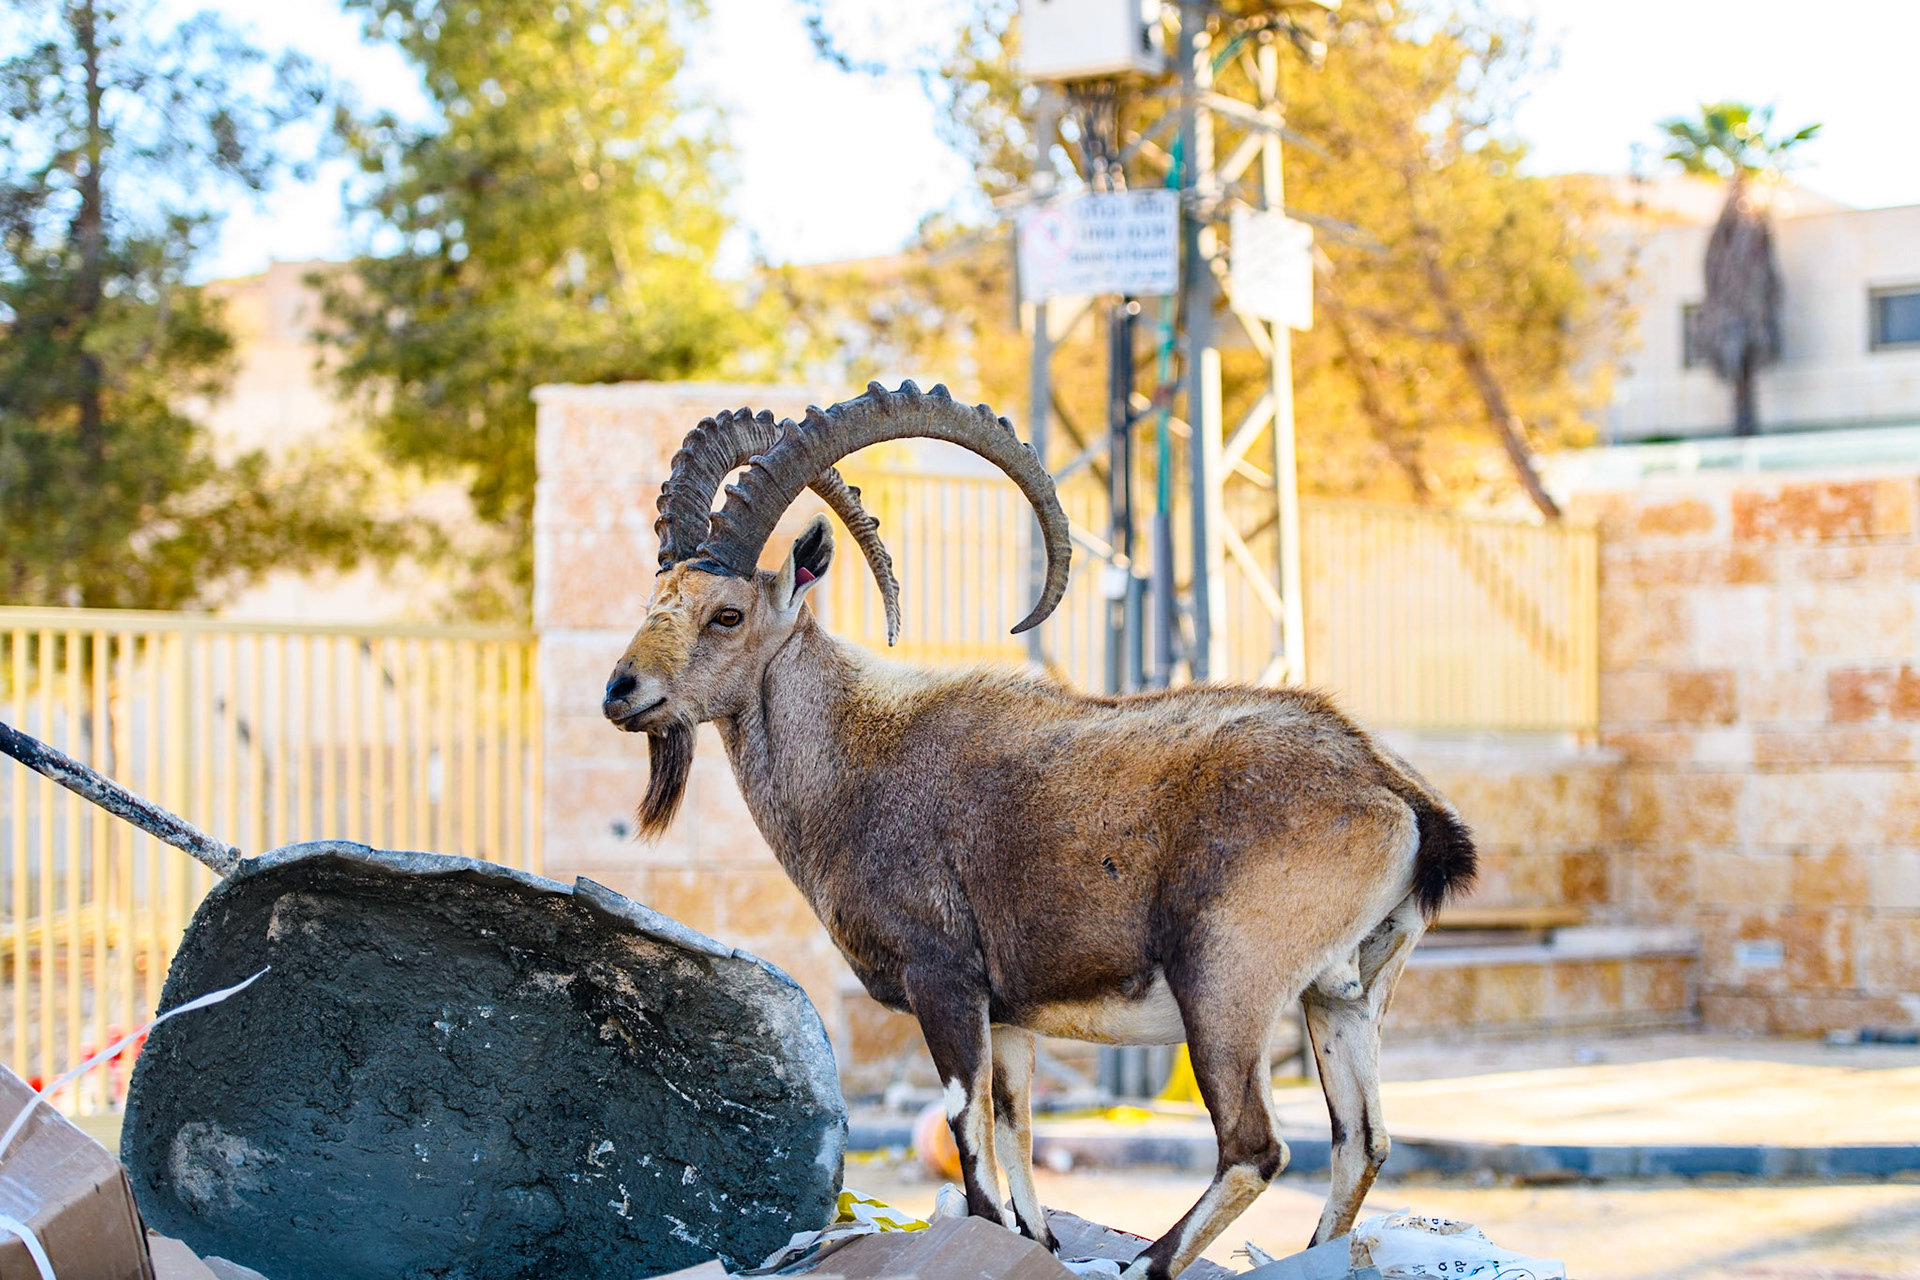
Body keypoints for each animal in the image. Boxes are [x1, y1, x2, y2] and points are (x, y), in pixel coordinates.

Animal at [601, 382, 1476, 1279]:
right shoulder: (1012, 1013)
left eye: (727, 614)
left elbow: (973, 1143)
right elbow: (1019, 1147)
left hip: (1226, 981)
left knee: (1255, 1148)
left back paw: (1146, 1260)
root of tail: (1396, 795)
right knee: (1361, 1142)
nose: (620, 692)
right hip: (1342, 995)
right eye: (655, 604)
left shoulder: (943, 977)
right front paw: (1042, 1242)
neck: (855, 757)